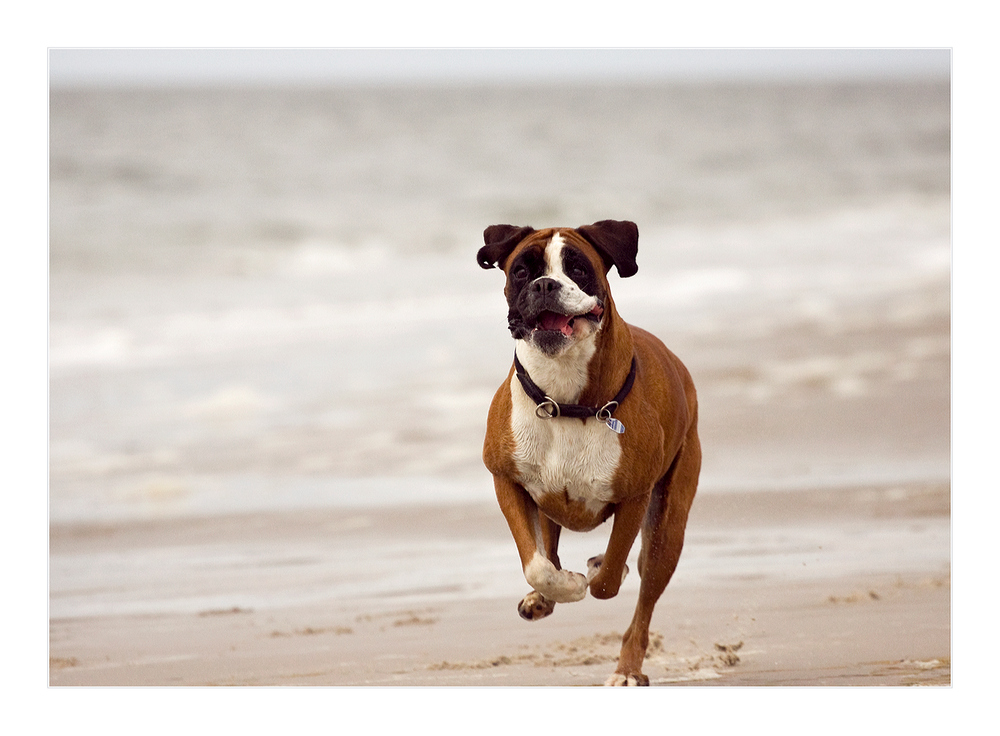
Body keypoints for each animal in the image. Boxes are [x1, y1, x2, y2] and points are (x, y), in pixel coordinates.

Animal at [478, 221, 704, 688]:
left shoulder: (634, 498)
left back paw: (628, 669)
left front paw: (598, 572)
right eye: (522, 270)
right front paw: (559, 587)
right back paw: (544, 598)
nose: (546, 284)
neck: (566, 400)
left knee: (643, 600)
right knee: (549, 548)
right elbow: (537, 564)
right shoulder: (505, 481)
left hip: (667, 530)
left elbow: (609, 580)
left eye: (578, 268)